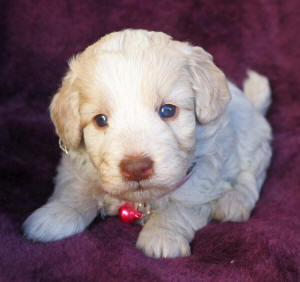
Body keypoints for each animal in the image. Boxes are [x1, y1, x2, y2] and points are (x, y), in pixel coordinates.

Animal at [23, 29, 272, 258]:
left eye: (168, 110)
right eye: (100, 120)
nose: (135, 168)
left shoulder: (202, 177)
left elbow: (179, 206)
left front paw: (162, 235)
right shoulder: (76, 164)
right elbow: (76, 190)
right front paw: (54, 216)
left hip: (252, 141)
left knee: (250, 177)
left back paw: (234, 202)